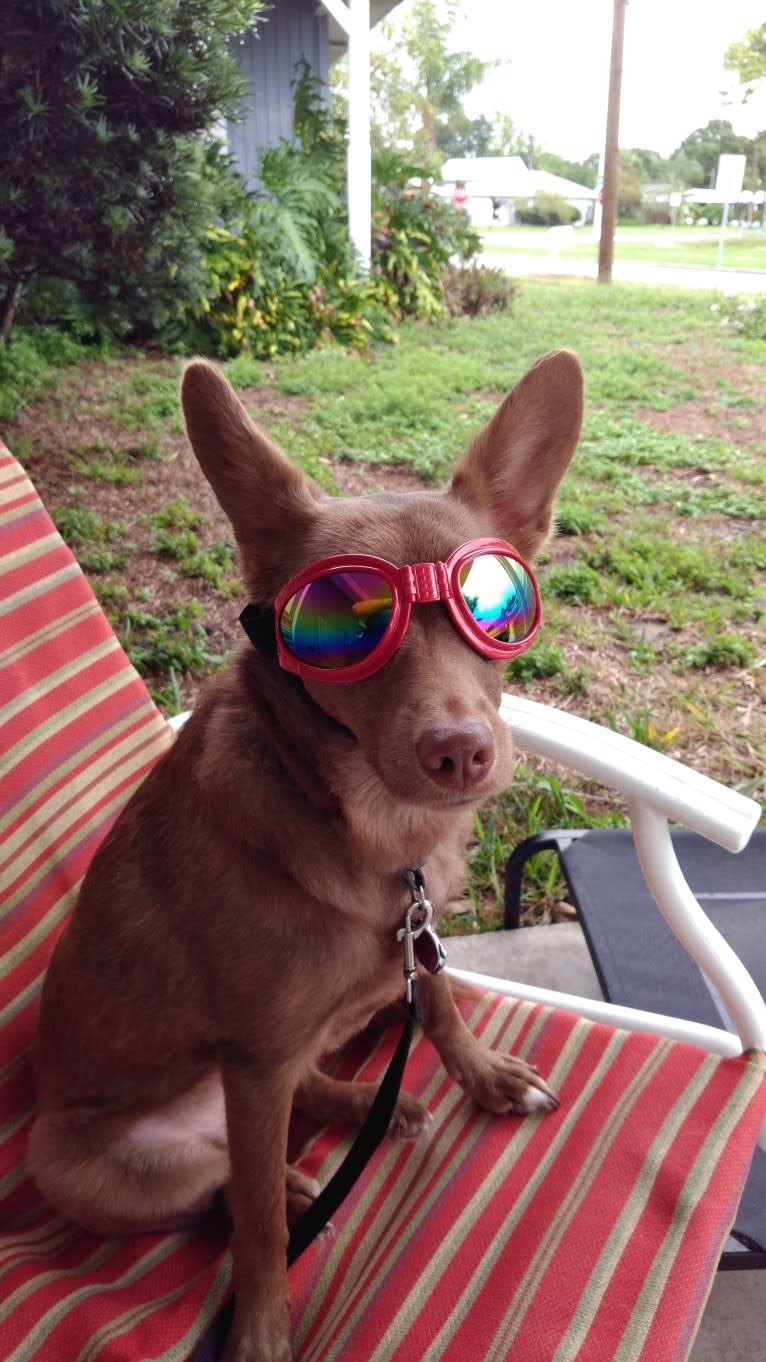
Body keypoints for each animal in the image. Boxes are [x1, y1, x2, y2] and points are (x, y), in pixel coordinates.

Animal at [26, 351, 580, 1362]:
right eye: (340, 624)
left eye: (496, 607)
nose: (460, 752)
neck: (378, 836)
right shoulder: (253, 1064)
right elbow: (253, 1230)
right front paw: (263, 1329)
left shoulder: (416, 945)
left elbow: (442, 1004)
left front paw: (482, 1072)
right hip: (88, 1164)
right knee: (225, 1185)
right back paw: (296, 1177)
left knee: (292, 1107)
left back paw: (365, 1107)